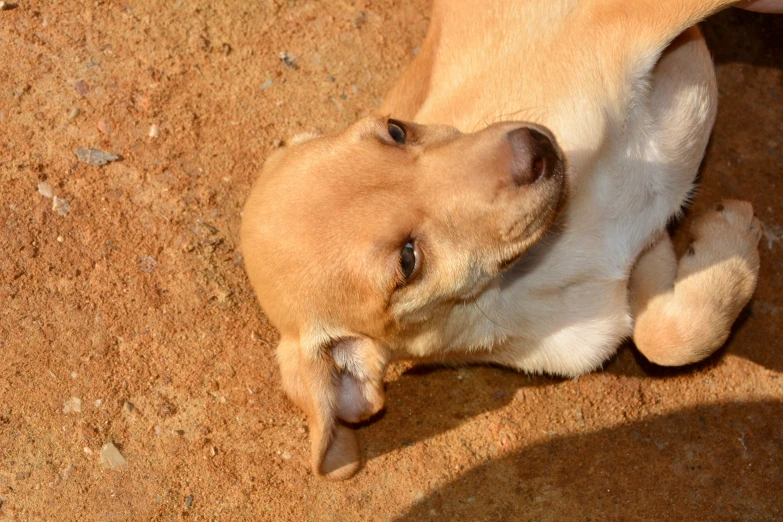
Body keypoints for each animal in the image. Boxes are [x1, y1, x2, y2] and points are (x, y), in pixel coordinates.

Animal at [242, 0, 764, 478]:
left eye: (395, 129)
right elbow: (668, 336)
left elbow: (670, 335)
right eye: (408, 260)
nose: (533, 149)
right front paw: (733, 237)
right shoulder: (640, 249)